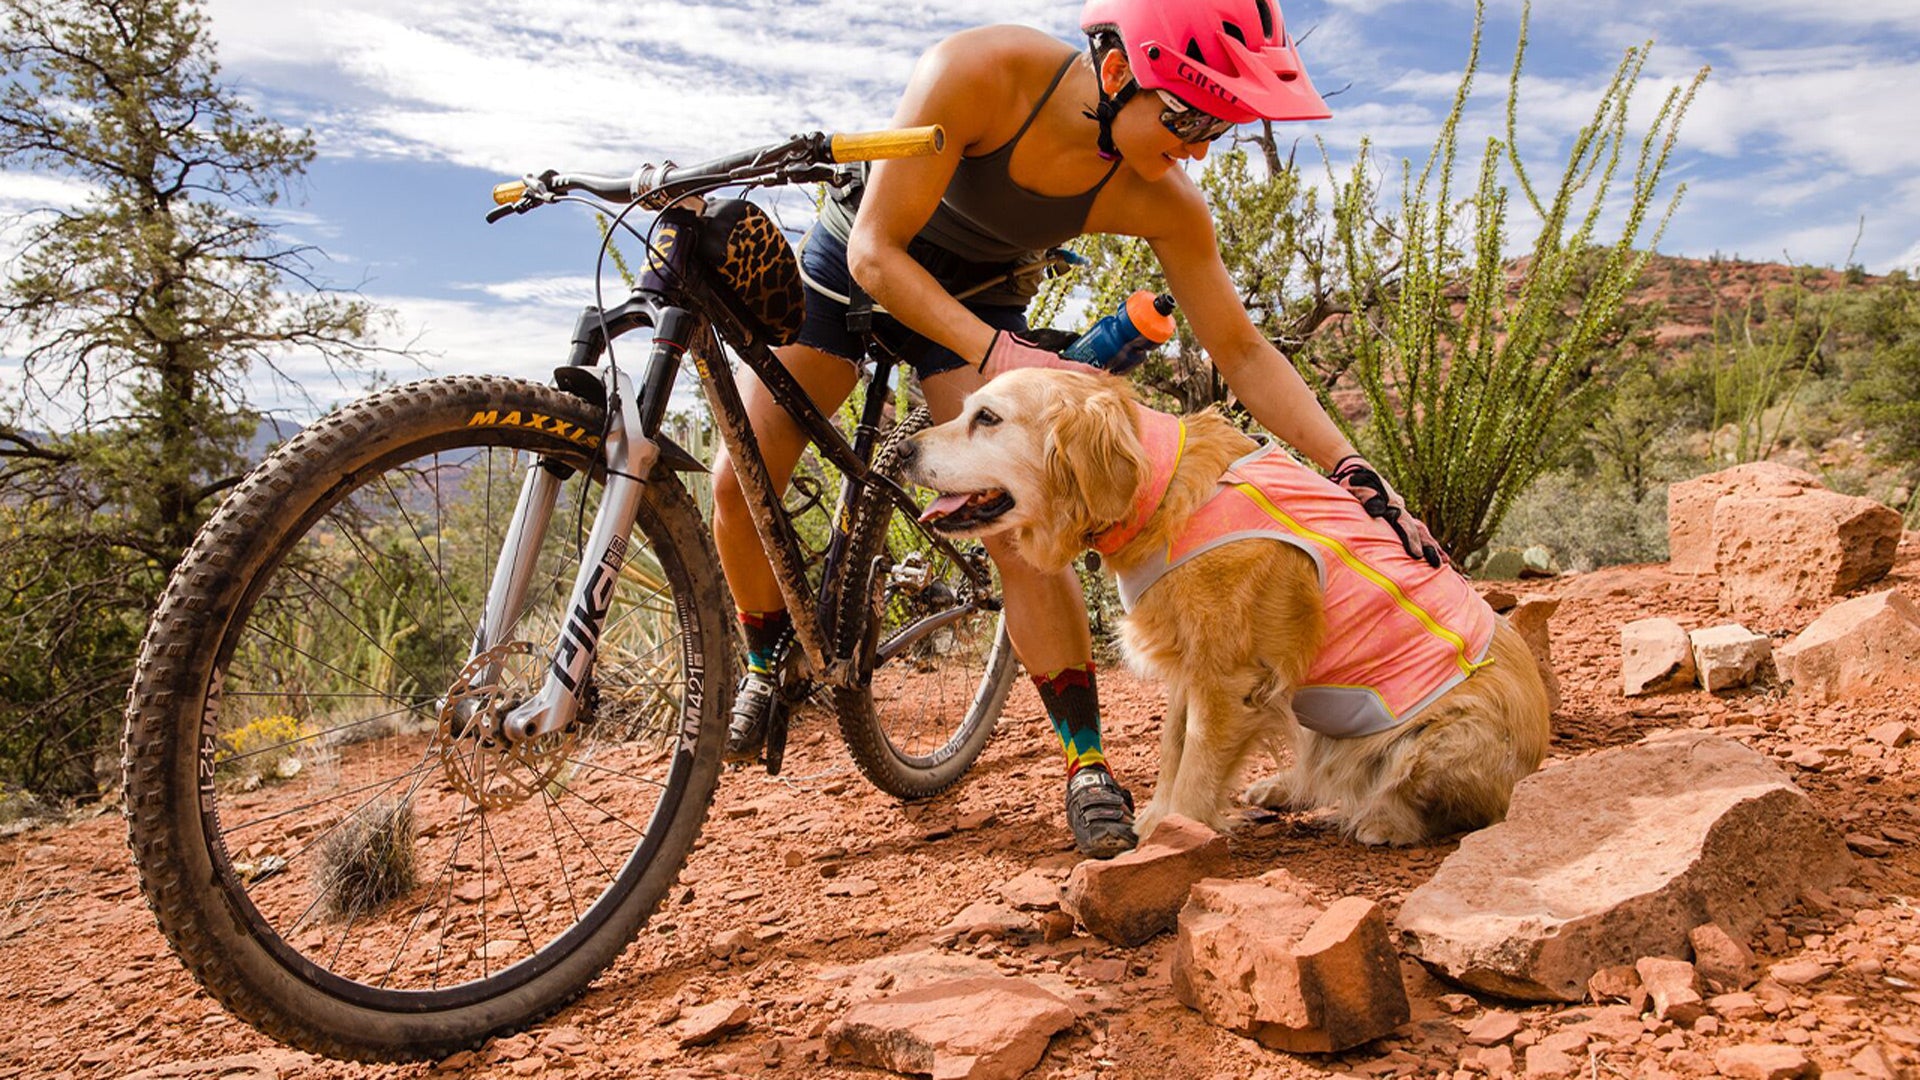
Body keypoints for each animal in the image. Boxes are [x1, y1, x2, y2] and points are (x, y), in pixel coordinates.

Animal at [902, 365, 1559, 845]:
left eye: (987, 418)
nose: (903, 449)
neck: (1158, 487)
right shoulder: (1190, 667)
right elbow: (1174, 750)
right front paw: (1156, 820)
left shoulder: (1228, 676)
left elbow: (1196, 770)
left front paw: (1174, 834)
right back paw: (1283, 788)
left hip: (1440, 739)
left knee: (1443, 805)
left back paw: (1381, 821)